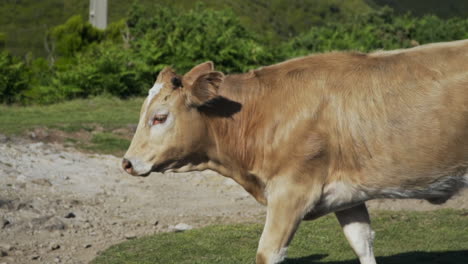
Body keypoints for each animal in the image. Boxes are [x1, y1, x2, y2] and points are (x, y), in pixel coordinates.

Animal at [121, 39, 468, 264]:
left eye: (159, 117)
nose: (126, 162)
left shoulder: (291, 192)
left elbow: (268, 253)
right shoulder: (349, 195)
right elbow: (362, 242)